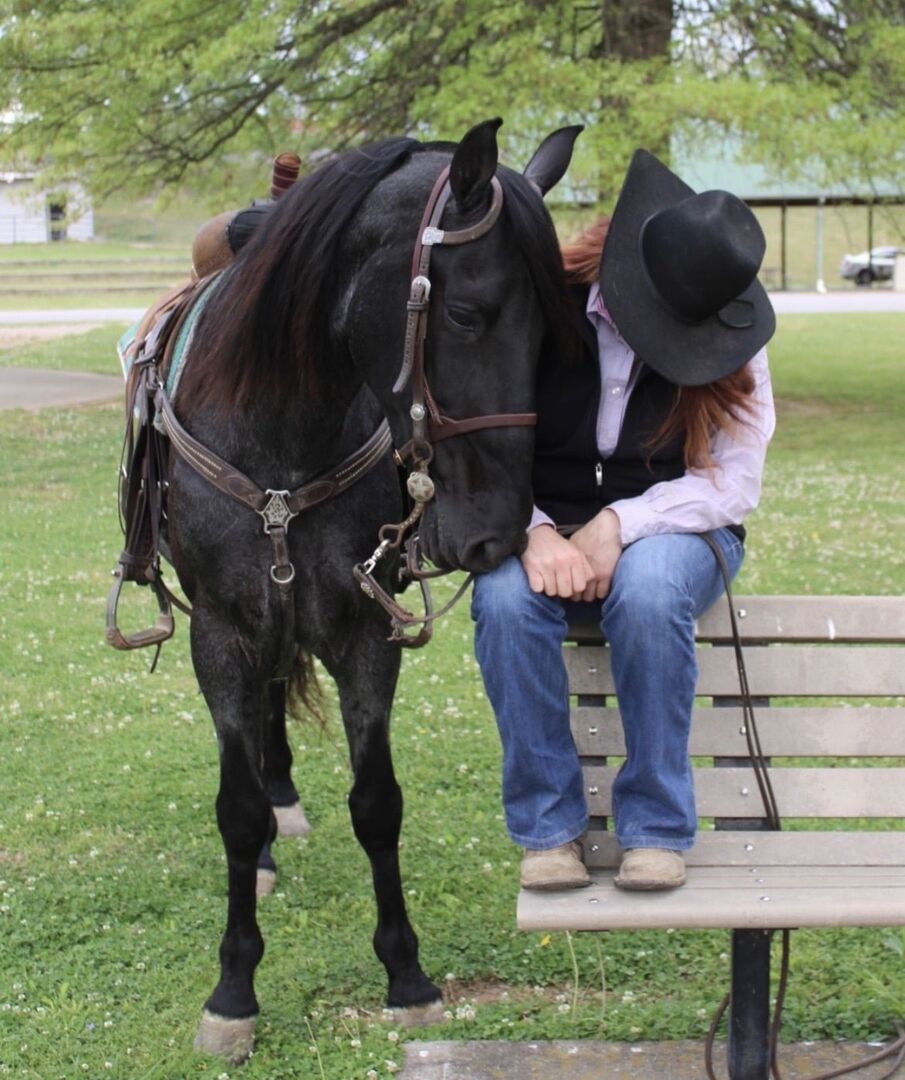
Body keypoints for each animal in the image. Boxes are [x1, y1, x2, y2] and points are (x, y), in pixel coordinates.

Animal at [154, 118, 579, 1062]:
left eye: (556, 335)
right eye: (464, 314)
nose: (499, 531)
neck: (281, 429)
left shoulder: (361, 633)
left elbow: (377, 804)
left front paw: (407, 975)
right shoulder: (221, 633)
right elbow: (234, 810)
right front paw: (232, 993)